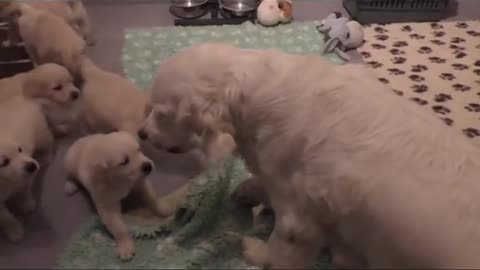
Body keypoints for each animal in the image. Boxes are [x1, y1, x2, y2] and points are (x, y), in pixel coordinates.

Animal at [0, 96, 54, 243]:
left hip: (41, 132)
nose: (32, 166)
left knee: (49, 144)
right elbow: (5, 217)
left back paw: (46, 158)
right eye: (4, 162)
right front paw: (14, 230)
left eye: (20, 149)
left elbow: (24, 190)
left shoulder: (25, 178)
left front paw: (27, 204)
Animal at [64, 132, 174, 260]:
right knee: (71, 175)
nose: (148, 166)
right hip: (70, 161)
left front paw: (164, 209)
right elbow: (118, 226)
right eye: (125, 161)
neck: (119, 178)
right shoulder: (105, 200)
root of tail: (80, 139)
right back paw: (70, 185)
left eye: (139, 150)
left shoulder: (139, 183)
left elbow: (151, 196)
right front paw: (125, 245)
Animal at [139, 43, 480, 268]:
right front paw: (250, 189)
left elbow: (280, 248)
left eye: (162, 114)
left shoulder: (297, 218)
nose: (141, 133)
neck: (254, 90)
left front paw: (255, 251)